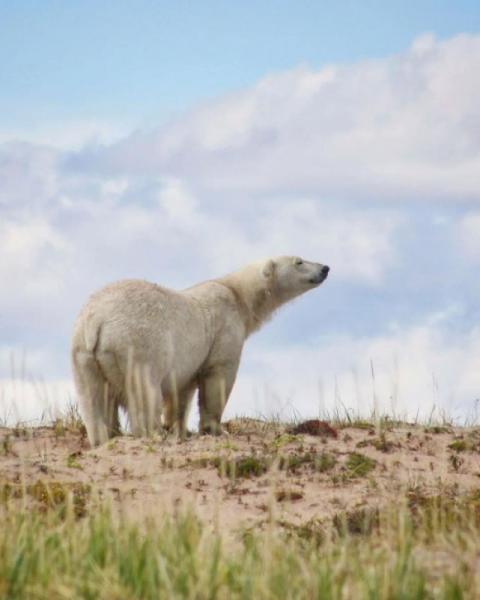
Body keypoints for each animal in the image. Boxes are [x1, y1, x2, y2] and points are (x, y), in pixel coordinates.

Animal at [71, 254, 330, 446]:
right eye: (299, 261)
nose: (325, 268)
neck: (235, 292)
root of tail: (97, 321)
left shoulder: (189, 360)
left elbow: (181, 392)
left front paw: (177, 428)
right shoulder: (224, 328)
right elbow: (218, 376)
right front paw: (216, 429)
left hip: (83, 353)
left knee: (92, 396)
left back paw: (103, 438)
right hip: (137, 345)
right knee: (144, 389)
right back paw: (153, 434)